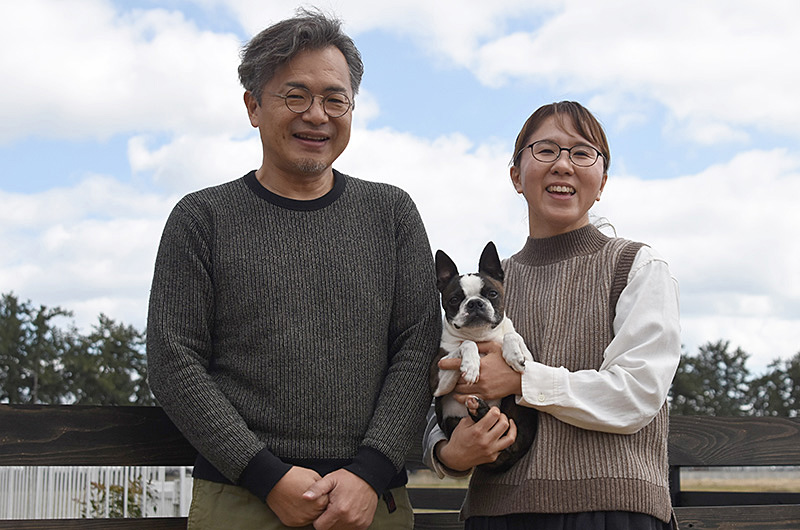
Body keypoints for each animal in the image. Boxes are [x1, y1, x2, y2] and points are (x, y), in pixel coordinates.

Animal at [432, 239, 536, 470]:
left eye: (492, 294)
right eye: (454, 299)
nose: (474, 303)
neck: (480, 335)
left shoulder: (531, 358)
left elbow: (512, 335)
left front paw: (513, 354)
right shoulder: (437, 383)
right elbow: (466, 343)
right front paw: (471, 365)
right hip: (451, 421)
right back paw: (477, 408)